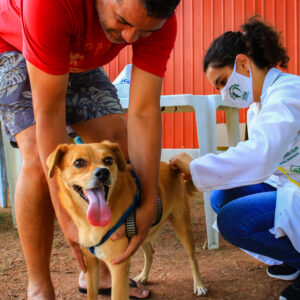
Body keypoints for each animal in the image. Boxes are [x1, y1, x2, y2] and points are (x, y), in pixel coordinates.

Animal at [47, 141, 207, 300]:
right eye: (79, 163)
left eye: (108, 160)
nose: (103, 172)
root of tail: (170, 167)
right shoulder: (90, 264)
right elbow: (91, 294)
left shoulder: (118, 267)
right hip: (140, 232)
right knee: (150, 251)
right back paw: (143, 276)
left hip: (182, 226)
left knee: (192, 258)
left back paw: (199, 285)